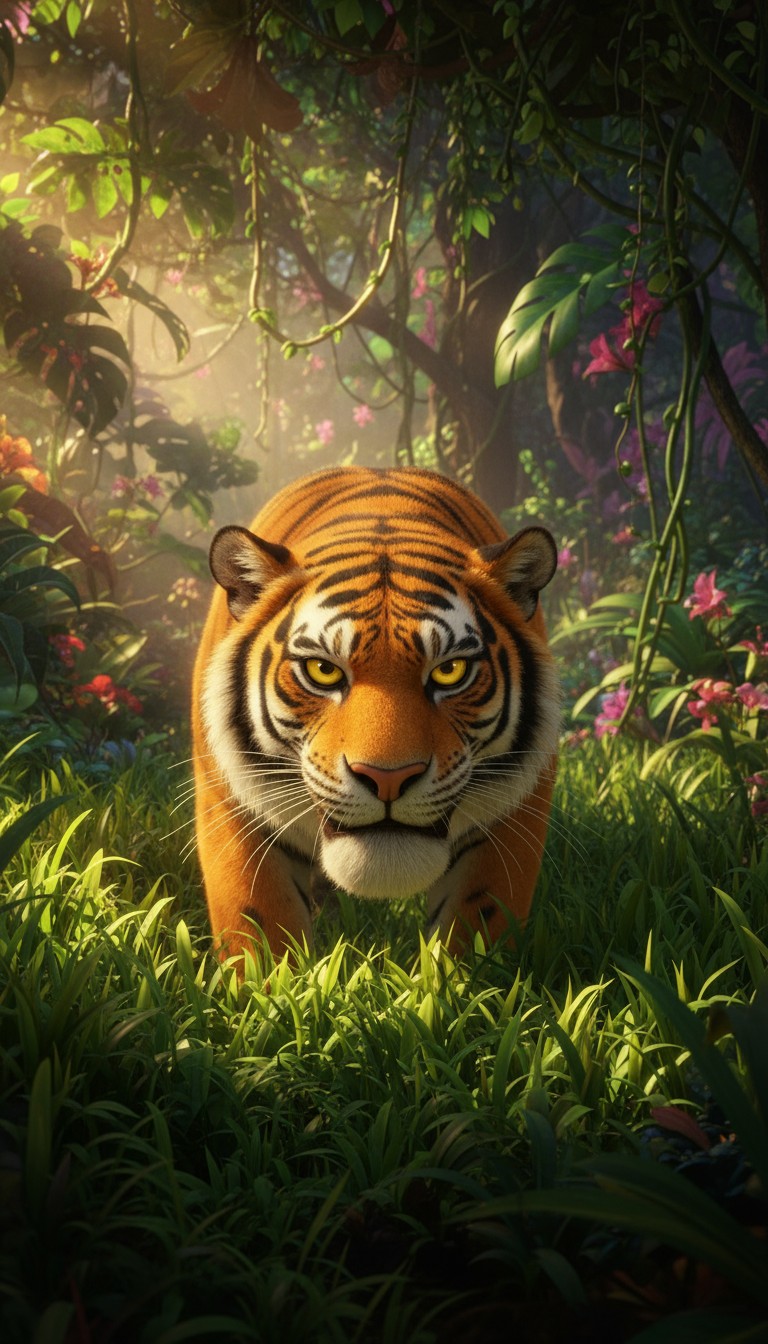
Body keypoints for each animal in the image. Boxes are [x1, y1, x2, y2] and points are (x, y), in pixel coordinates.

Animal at [191, 465, 560, 966]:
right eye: (324, 670)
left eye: (449, 671)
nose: (388, 778)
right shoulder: (231, 806)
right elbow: (258, 927)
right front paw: (268, 982)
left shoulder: (514, 817)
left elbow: (478, 928)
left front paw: (464, 983)